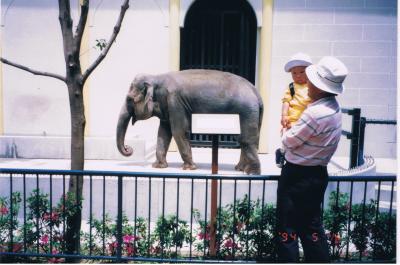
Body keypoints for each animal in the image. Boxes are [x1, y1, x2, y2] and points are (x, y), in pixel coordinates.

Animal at [115, 69, 264, 174]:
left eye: (129, 99)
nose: (128, 148)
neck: (157, 77)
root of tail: (256, 93)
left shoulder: (175, 101)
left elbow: (178, 131)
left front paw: (189, 168)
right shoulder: (167, 105)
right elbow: (163, 132)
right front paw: (158, 166)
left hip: (246, 112)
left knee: (246, 139)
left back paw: (252, 173)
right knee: (248, 139)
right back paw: (240, 169)